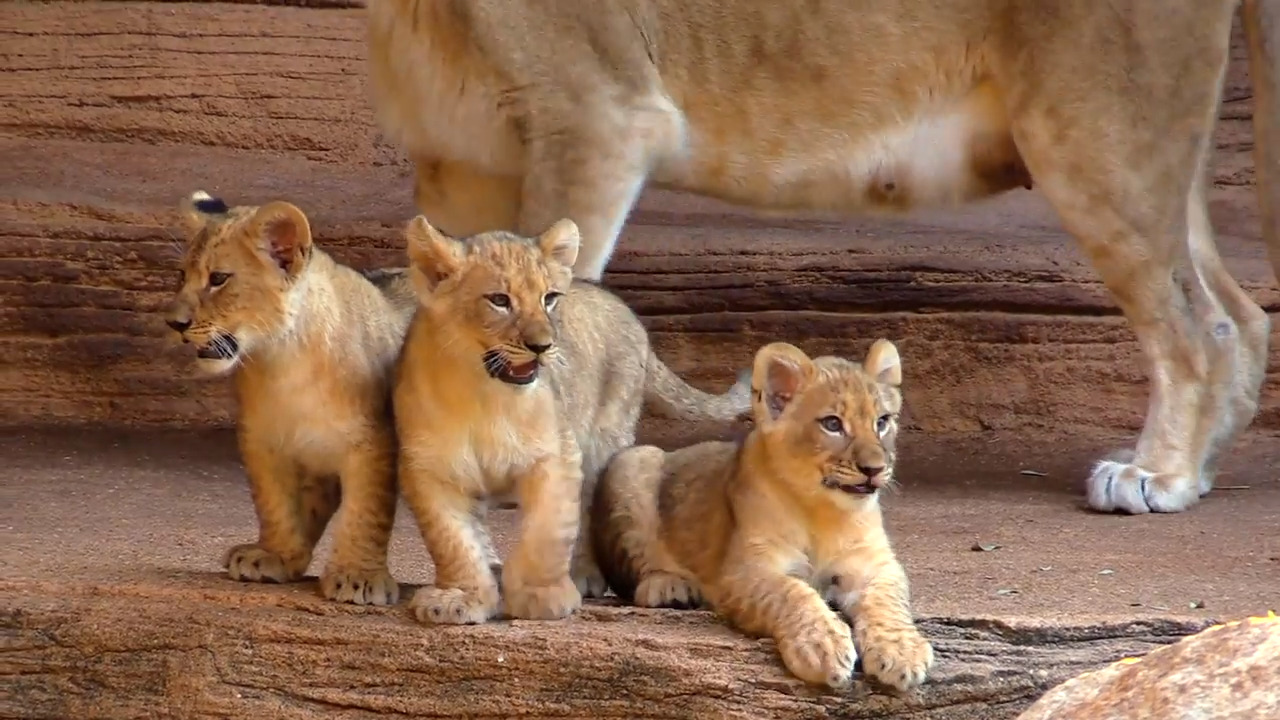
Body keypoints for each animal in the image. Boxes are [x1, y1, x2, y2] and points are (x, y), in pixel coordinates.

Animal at [163, 192, 417, 605]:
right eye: (181, 276)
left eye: (218, 279)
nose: (174, 323)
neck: (283, 360)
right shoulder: (262, 439)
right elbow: (275, 503)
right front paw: (274, 555)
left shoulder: (373, 440)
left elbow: (366, 511)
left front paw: (358, 576)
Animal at [365, 0, 1278, 517]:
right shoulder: (461, 164)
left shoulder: (598, 115)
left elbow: (560, 307)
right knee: (1240, 314)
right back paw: (1202, 464)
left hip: (1098, 126)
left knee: (1198, 327)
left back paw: (1157, 476)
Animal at [390, 215, 751, 624]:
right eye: (499, 300)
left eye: (549, 299)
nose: (542, 346)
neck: (483, 396)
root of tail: (626, 310)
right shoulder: (430, 468)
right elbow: (453, 541)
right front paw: (460, 598)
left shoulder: (557, 454)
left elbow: (548, 529)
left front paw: (543, 596)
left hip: (605, 441)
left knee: (596, 509)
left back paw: (636, 581)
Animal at [591, 339, 934, 692]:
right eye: (832, 424)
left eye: (882, 421)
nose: (875, 469)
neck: (823, 511)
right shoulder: (746, 571)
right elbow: (792, 594)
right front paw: (822, 648)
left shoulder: (875, 565)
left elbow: (888, 602)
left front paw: (902, 652)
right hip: (631, 463)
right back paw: (670, 588)